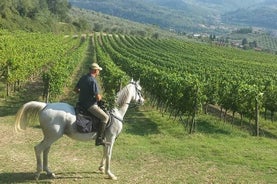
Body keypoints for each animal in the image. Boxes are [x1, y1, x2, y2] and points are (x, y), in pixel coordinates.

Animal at [14, 80, 144, 180]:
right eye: (140, 90)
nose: (143, 101)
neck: (114, 111)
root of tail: (45, 106)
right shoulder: (110, 138)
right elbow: (108, 154)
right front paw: (110, 174)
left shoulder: (105, 139)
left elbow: (104, 152)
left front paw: (101, 168)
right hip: (52, 136)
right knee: (38, 149)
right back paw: (37, 173)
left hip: (50, 137)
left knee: (46, 150)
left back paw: (49, 172)